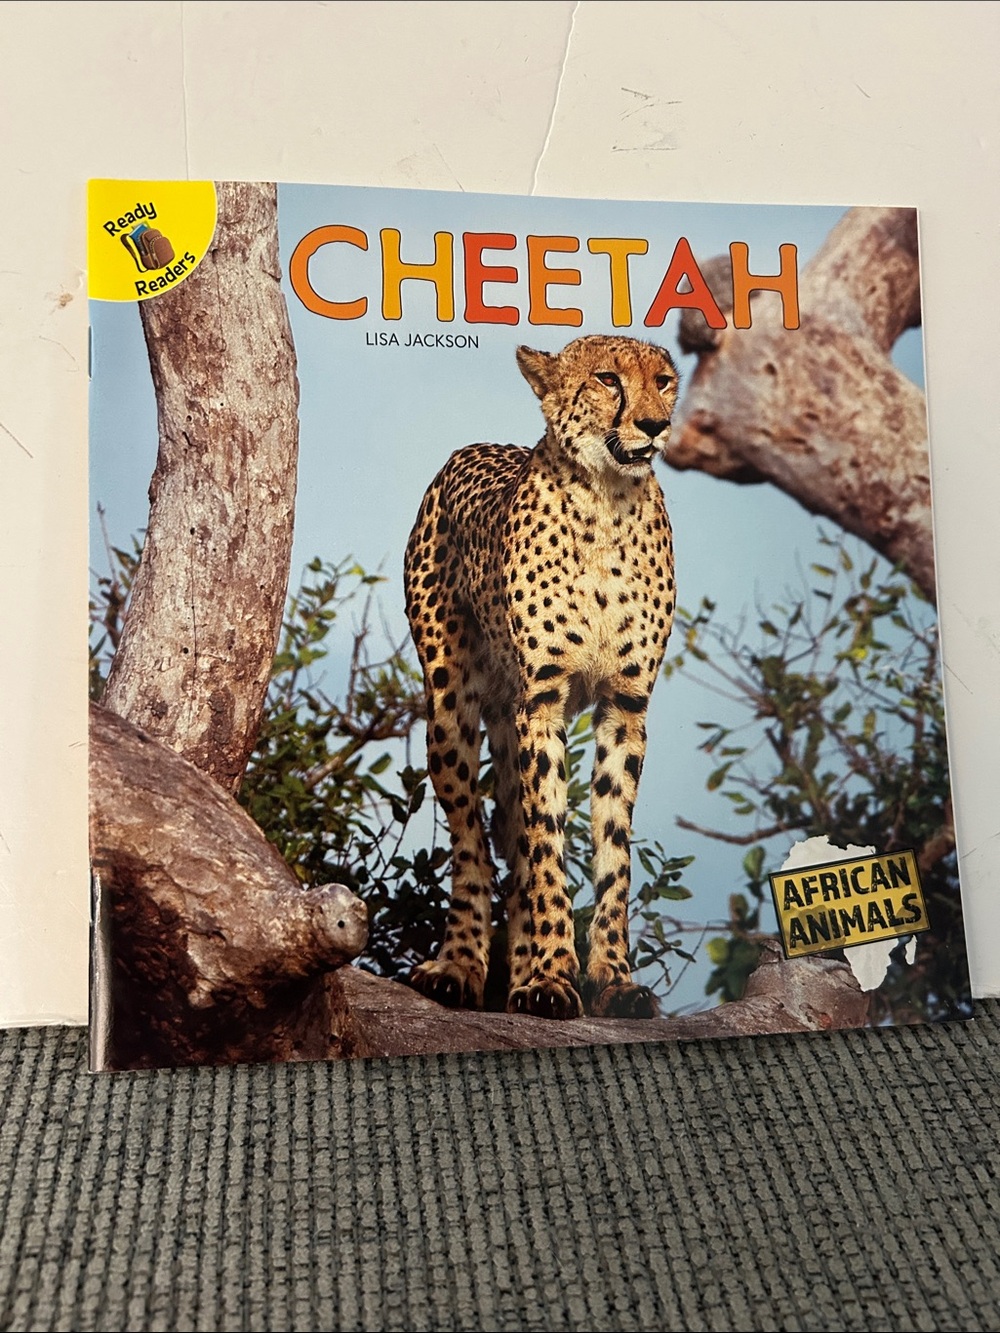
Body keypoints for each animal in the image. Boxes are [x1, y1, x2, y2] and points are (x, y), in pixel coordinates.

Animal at [403, 334, 679, 1021]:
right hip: (451, 710)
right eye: (608, 379)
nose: (654, 424)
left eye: (663, 381)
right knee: (474, 842)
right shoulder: (544, 702)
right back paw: (461, 966)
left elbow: (612, 848)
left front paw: (612, 979)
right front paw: (553, 978)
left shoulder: (625, 707)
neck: (609, 503)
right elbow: (545, 846)